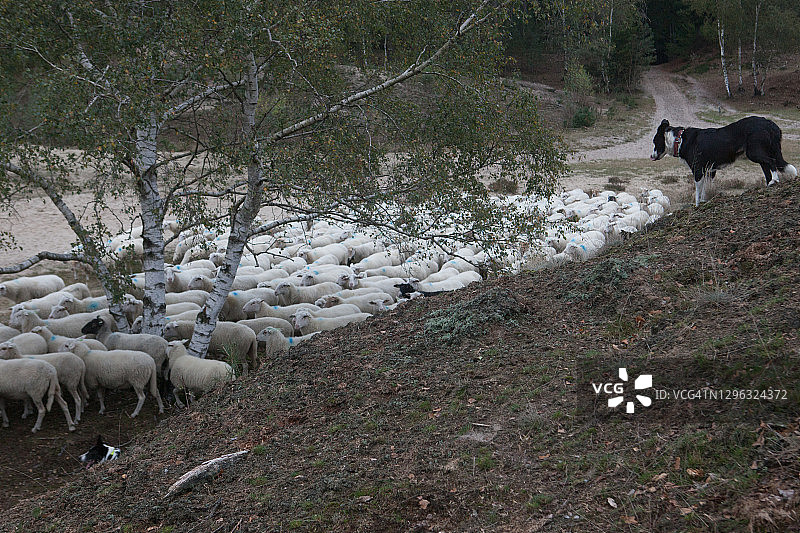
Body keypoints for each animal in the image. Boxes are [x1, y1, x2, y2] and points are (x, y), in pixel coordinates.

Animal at [648, 116, 792, 206]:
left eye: (654, 141)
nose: (651, 156)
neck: (680, 140)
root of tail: (769, 123)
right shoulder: (710, 171)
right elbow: (706, 188)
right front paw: (705, 201)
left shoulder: (698, 170)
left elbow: (698, 192)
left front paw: (697, 205)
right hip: (758, 153)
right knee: (767, 168)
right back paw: (769, 185)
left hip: (754, 152)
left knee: (771, 161)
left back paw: (775, 180)